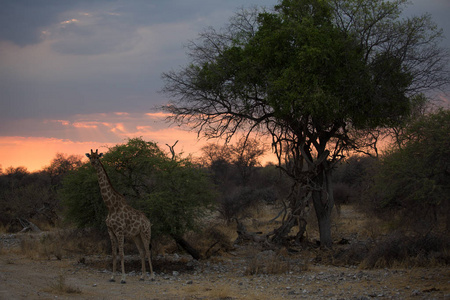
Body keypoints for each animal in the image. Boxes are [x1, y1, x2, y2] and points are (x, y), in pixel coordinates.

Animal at [85, 149, 156, 282]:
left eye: (97, 157)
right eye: (90, 157)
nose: (93, 162)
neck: (111, 206)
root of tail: (148, 221)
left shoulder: (119, 231)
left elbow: (122, 254)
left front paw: (123, 278)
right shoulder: (110, 231)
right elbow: (113, 254)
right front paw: (112, 277)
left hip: (146, 232)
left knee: (148, 251)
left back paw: (152, 277)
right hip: (136, 235)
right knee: (142, 252)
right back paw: (142, 276)